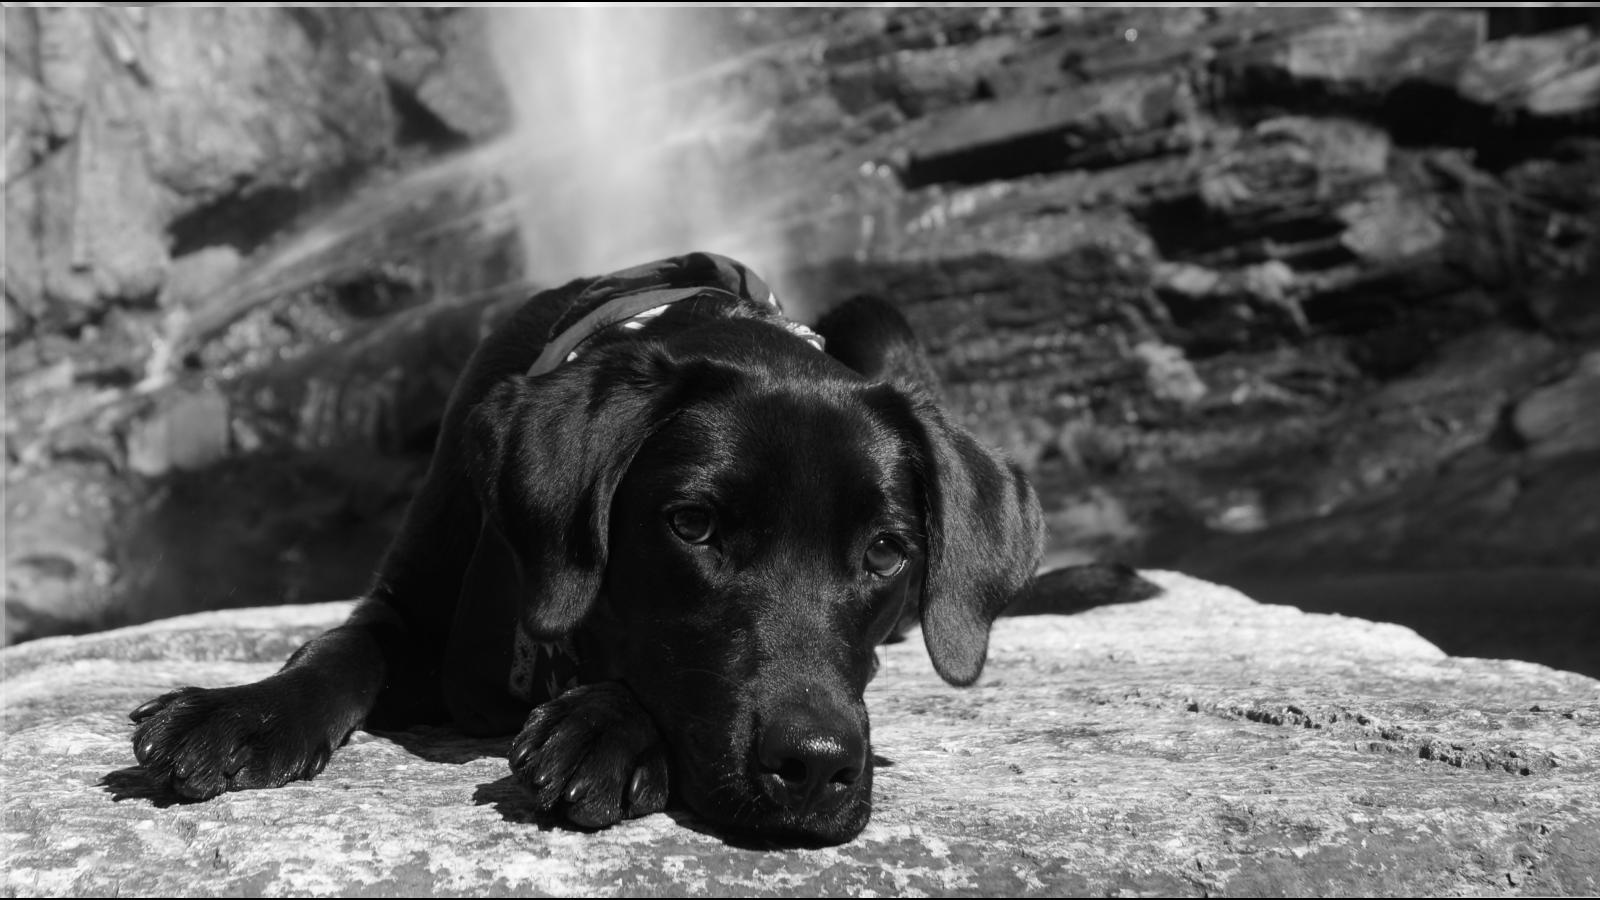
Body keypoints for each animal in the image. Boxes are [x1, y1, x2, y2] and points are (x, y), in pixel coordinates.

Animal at [128, 251, 1148, 845]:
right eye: (692, 526)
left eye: (888, 551)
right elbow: (337, 649)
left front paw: (603, 729)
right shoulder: (407, 600)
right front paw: (239, 714)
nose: (817, 769)